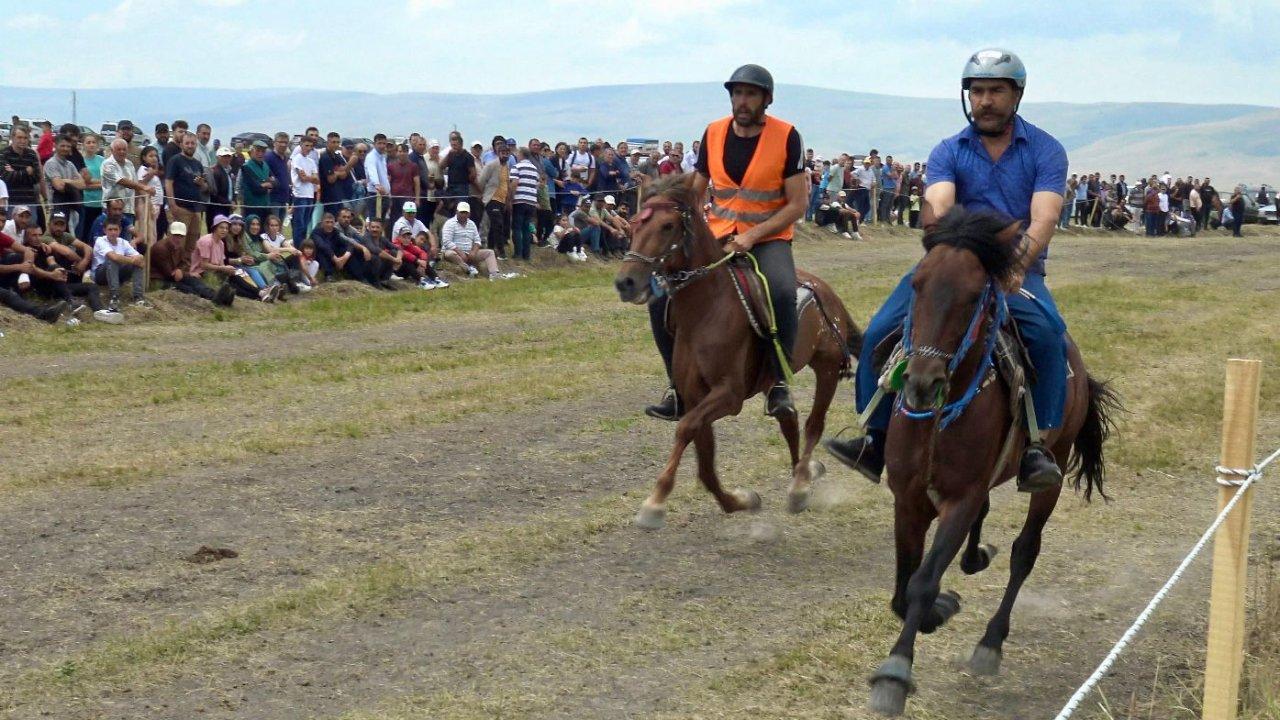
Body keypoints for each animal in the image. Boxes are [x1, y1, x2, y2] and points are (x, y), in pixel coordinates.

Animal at [614, 172, 865, 527]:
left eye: (667, 226)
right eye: (634, 223)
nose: (626, 282)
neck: (707, 309)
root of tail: (826, 292)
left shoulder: (728, 395)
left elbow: (685, 428)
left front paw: (656, 500)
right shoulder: (696, 397)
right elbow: (705, 463)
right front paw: (740, 501)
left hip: (827, 367)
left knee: (813, 425)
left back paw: (800, 485)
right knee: (788, 419)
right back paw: (802, 473)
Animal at [860, 207, 1121, 712]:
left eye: (971, 294)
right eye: (917, 284)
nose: (921, 382)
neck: (938, 419)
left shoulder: (959, 499)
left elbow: (922, 580)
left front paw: (895, 672)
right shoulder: (908, 499)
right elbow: (904, 585)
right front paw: (939, 610)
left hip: (1053, 468)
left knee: (1025, 552)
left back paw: (991, 641)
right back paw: (975, 557)